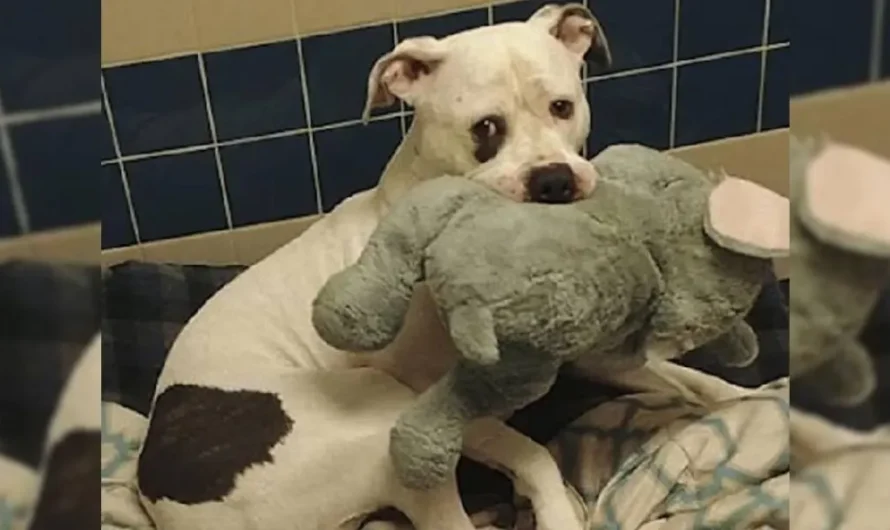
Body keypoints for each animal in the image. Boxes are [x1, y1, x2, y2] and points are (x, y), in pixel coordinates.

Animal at [137, 5, 612, 528]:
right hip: (386, 420)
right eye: (485, 127)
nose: (554, 181)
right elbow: (532, 454)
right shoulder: (443, 406)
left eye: (562, 107)